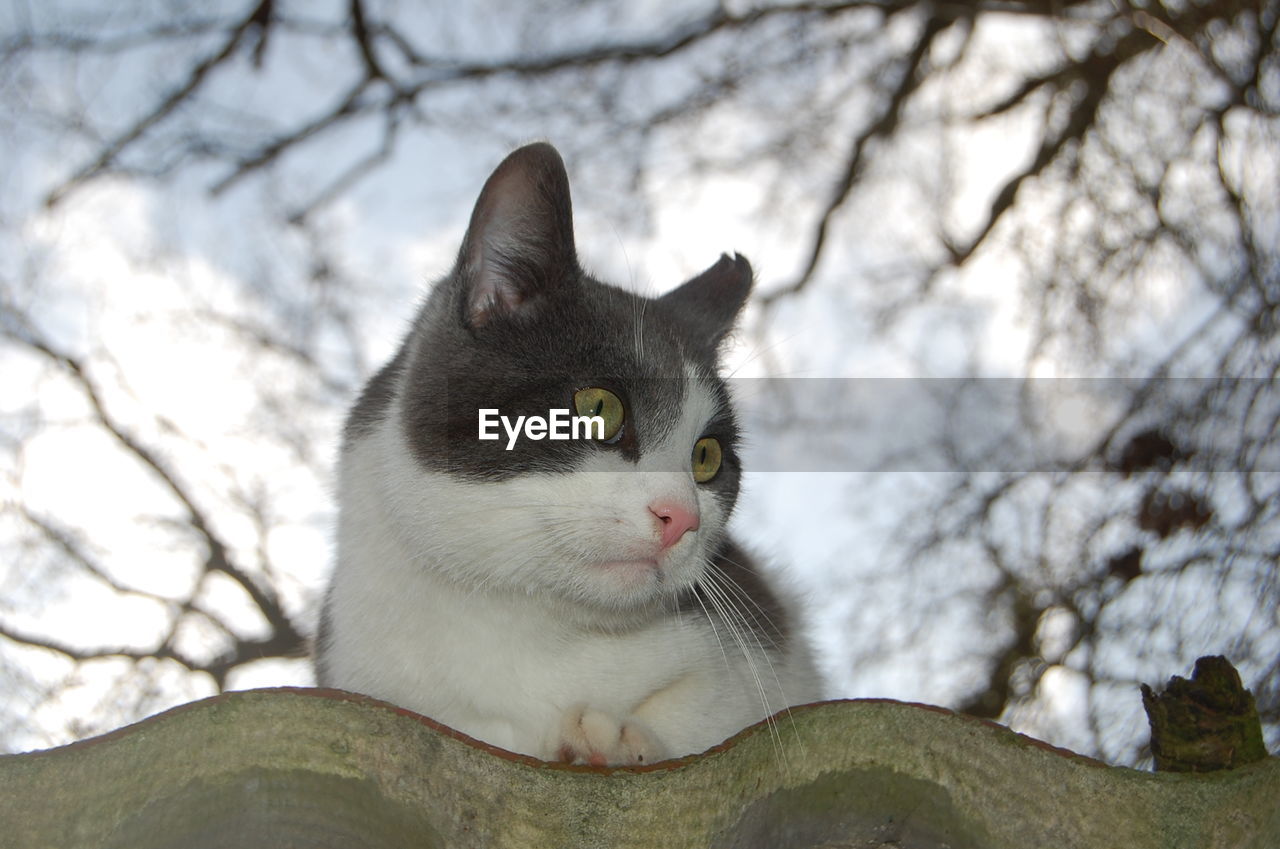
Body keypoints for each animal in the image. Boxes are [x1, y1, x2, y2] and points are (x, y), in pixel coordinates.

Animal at [314, 142, 824, 768]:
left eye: (706, 457)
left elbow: (721, 707)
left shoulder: (765, 639)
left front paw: (619, 737)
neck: (522, 624)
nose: (682, 517)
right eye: (600, 405)